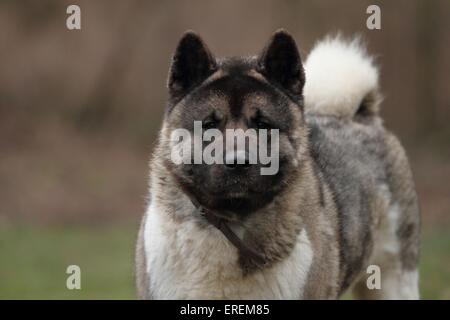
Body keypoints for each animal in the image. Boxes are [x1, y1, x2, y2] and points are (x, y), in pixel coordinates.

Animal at [135, 30, 420, 300]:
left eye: (262, 124)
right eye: (209, 124)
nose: (238, 162)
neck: (231, 220)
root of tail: (359, 117)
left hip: (395, 279)